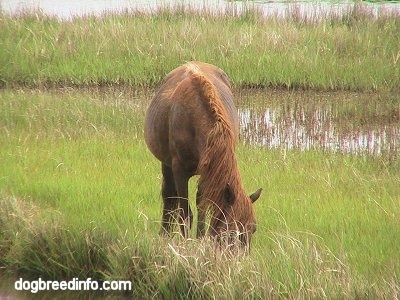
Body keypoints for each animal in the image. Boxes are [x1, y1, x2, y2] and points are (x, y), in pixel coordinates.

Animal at [144, 61, 262, 248]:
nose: (240, 256)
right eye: (230, 231)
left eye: (253, 228)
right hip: (166, 164)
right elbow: (185, 212)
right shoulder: (179, 170)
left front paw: (200, 238)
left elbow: (202, 208)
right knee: (169, 195)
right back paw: (165, 232)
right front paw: (186, 242)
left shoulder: (208, 170)